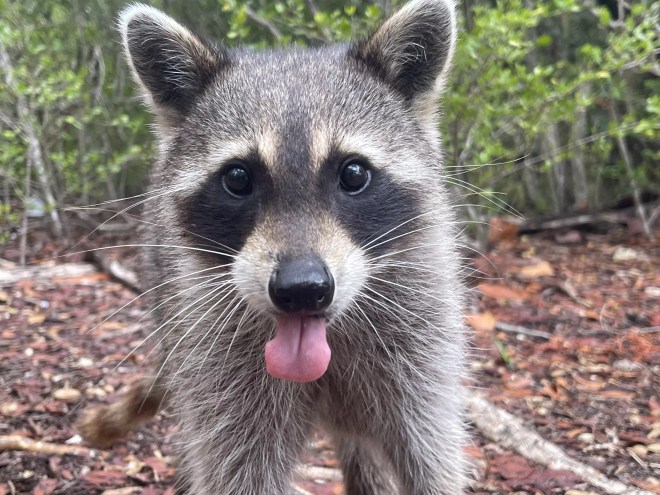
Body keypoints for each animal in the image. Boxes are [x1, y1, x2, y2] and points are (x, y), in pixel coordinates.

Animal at [79, 0, 467, 493]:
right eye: (237, 178)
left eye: (354, 174)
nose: (301, 289)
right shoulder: (218, 363)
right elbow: (236, 468)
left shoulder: (420, 348)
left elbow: (432, 456)